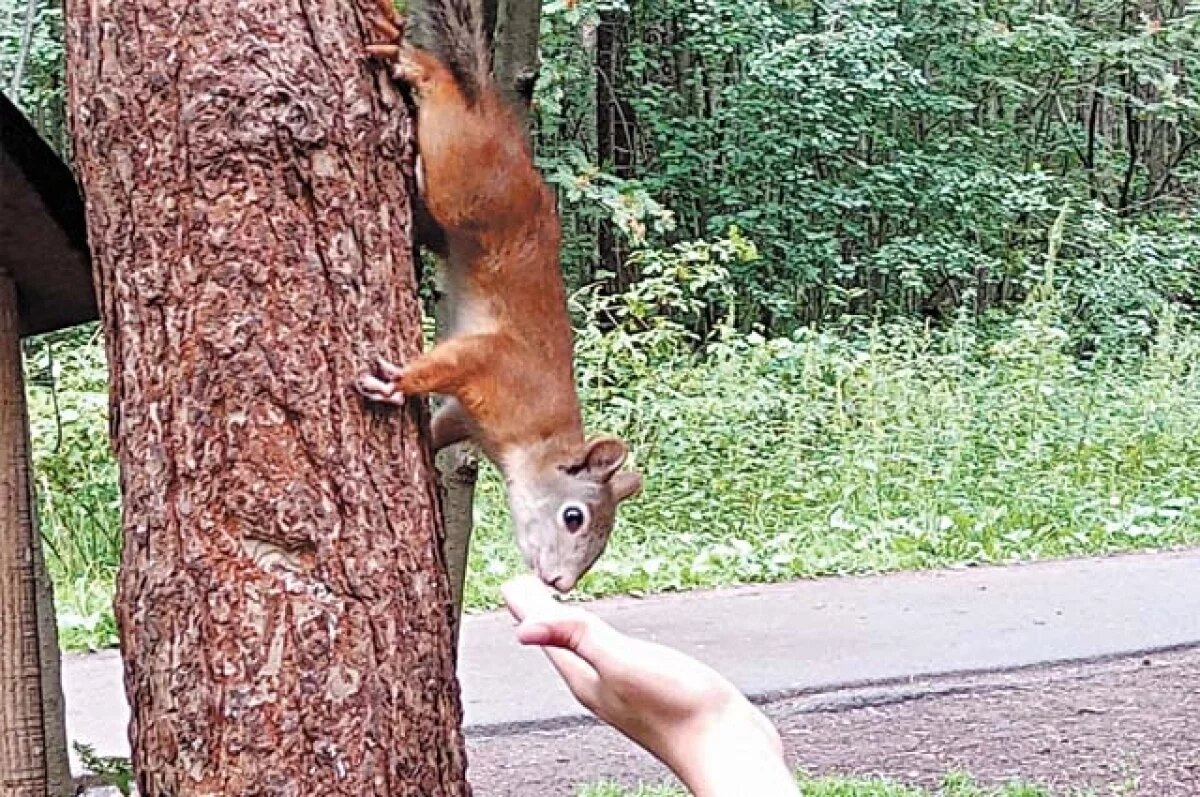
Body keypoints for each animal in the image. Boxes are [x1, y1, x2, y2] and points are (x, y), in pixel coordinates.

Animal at [355, 0, 643, 590]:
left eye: (601, 546)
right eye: (574, 517)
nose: (559, 585)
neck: (540, 440)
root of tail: (493, 112)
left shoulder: (468, 415)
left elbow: (444, 423)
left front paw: (426, 442)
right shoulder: (498, 364)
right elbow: (455, 360)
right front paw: (398, 382)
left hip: (444, 215)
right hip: (463, 173)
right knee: (444, 98)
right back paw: (418, 66)